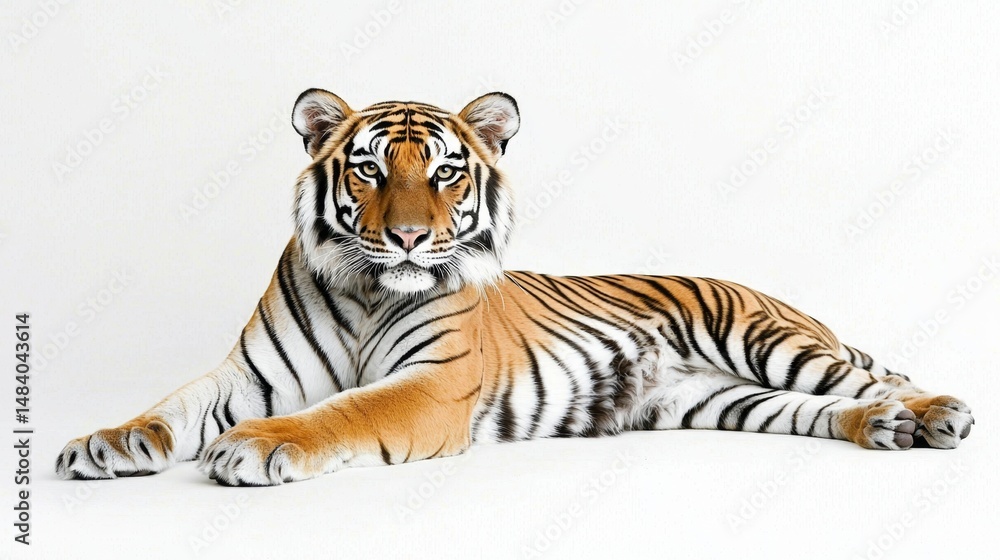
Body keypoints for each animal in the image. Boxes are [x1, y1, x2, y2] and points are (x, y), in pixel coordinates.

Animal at [56, 89, 974, 486]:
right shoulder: (248, 376)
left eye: (446, 173)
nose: (408, 237)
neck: (366, 290)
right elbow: (170, 407)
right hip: (717, 398)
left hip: (766, 340)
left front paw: (256, 447)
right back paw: (884, 430)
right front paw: (107, 442)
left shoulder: (432, 385)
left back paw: (934, 416)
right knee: (823, 409)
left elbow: (343, 411)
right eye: (369, 169)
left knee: (867, 378)